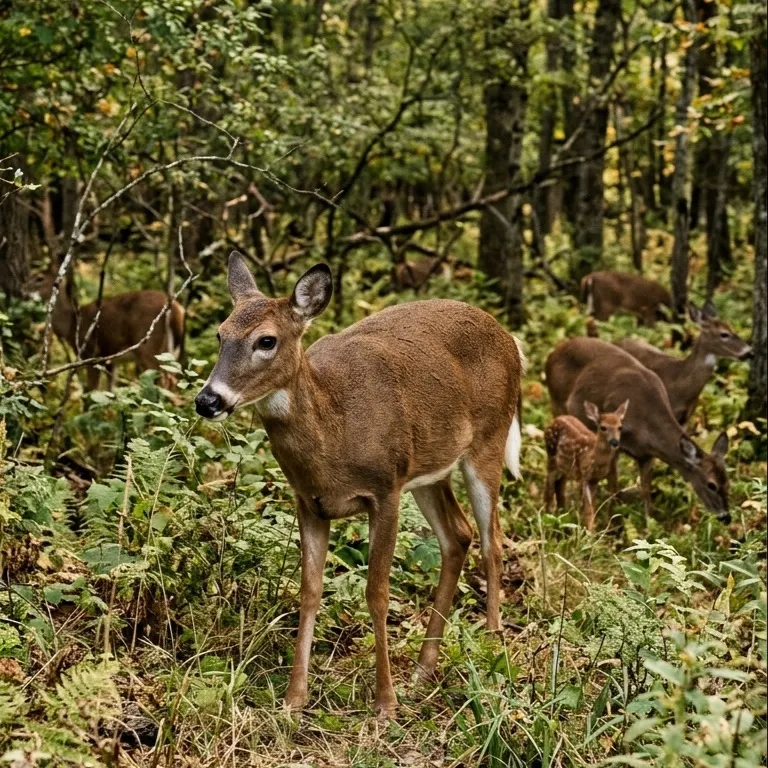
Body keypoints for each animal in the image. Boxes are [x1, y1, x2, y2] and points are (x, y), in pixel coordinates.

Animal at [25, 272, 185, 390]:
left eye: (39, 278)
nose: (22, 288)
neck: (72, 324)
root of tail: (176, 311)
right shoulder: (110, 360)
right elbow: (110, 391)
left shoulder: (91, 354)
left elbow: (91, 390)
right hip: (169, 351)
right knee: (172, 380)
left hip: (148, 347)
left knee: (163, 381)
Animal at [195, 252, 525, 718]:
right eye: (220, 334)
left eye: (266, 340)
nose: (208, 400)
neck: (334, 432)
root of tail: (510, 338)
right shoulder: (309, 502)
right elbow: (310, 591)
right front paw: (294, 700)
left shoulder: (384, 490)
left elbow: (377, 592)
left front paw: (384, 704)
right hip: (427, 467)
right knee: (457, 535)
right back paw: (423, 669)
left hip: (488, 441)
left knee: (492, 539)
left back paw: (493, 649)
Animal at [544, 400, 629, 531]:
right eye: (603, 427)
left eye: (620, 427)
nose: (614, 442)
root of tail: (554, 419)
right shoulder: (584, 475)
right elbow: (588, 509)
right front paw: (588, 532)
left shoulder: (595, 479)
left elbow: (592, 507)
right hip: (551, 456)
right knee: (548, 486)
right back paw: (548, 517)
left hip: (564, 468)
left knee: (560, 487)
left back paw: (561, 515)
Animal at [545, 338, 729, 518]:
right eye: (711, 484)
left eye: (727, 480)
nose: (726, 517)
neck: (645, 426)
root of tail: (553, 352)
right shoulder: (614, 446)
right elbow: (613, 487)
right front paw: (613, 522)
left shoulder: (646, 455)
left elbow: (646, 492)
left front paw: (648, 523)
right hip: (557, 405)